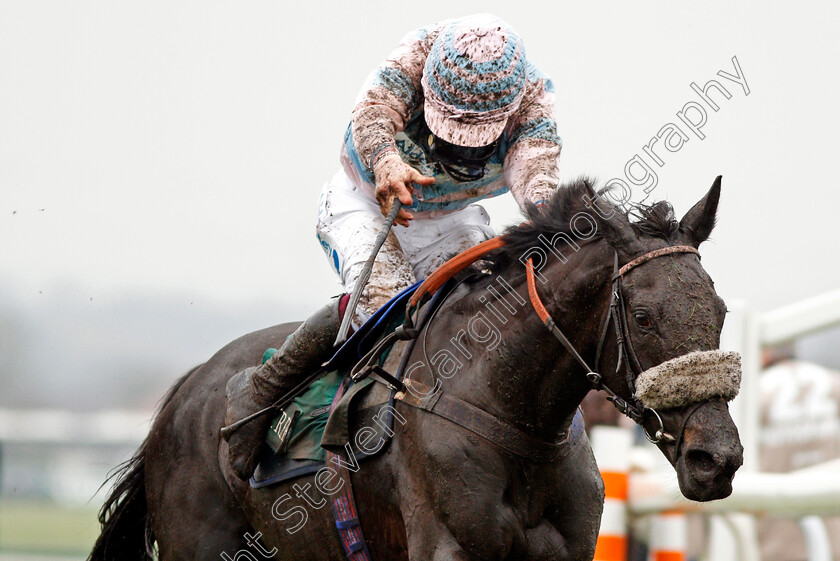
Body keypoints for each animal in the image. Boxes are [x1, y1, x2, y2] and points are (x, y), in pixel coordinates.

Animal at [90, 179, 740, 560]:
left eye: (721, 309)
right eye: (645, 316)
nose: (718, 458)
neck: (511, 410)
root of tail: (186, 392)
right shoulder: (445, 545)